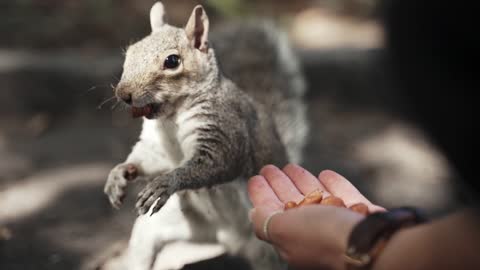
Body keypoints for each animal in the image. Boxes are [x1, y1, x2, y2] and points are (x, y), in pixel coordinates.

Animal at [103, 2, 310, 270]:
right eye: (130, 52)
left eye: (172, 61)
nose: (123, 94)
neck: (171, 118)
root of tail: (233, 240)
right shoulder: (156, 145)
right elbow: (147, 158)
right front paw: (119, 174)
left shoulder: (225, 126)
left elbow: (218, 162)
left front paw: (167, 182)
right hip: (170, 227)